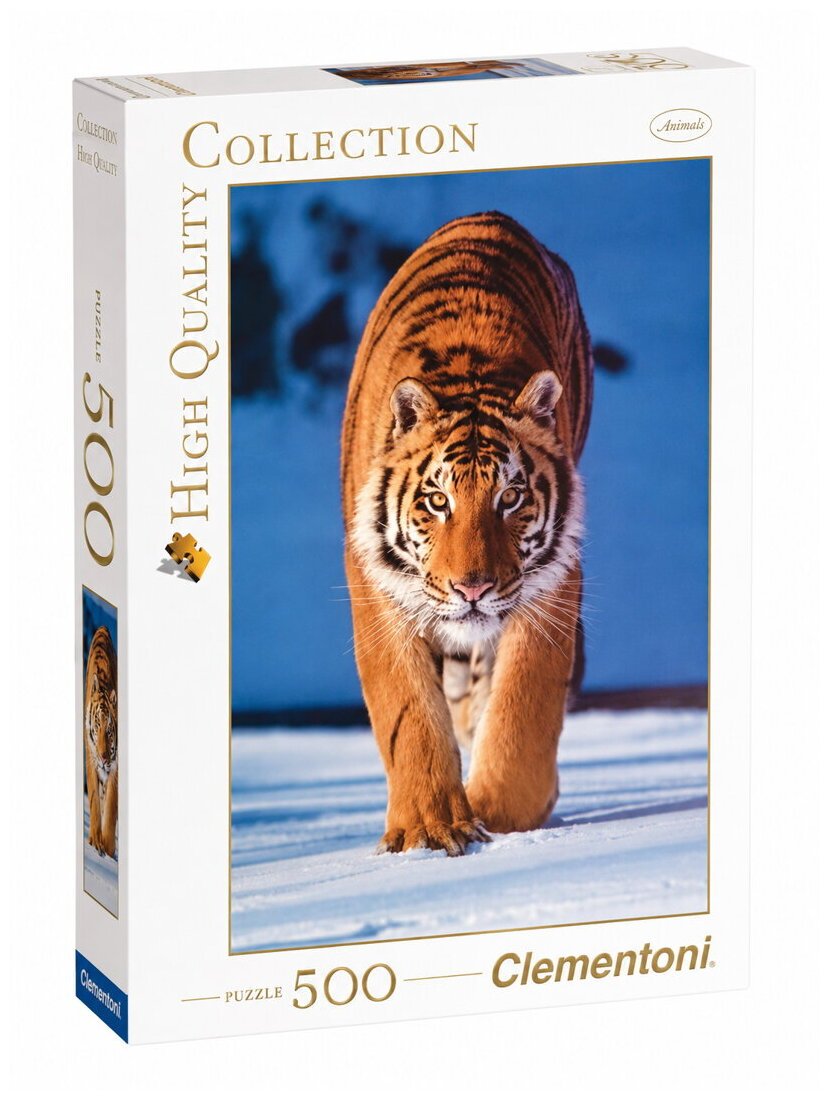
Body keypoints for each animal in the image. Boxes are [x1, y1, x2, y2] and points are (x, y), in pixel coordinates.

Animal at [341, 211, 593, 856]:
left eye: (511, 498)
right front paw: (430, 828)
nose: (472, 590)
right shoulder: (376, 583)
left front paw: (500, 815)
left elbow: (524, 704)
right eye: (438, 501)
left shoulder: (554, 581)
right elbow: (406, 708)